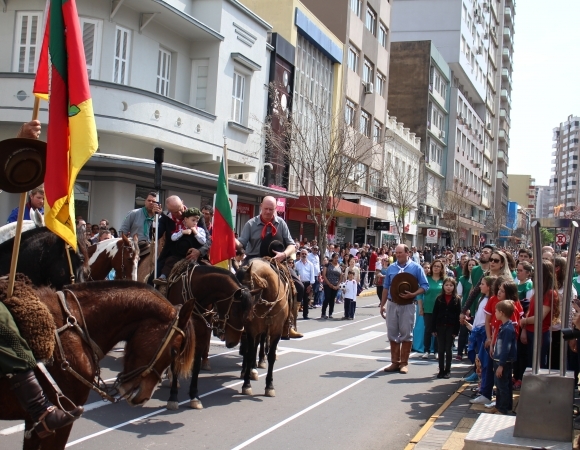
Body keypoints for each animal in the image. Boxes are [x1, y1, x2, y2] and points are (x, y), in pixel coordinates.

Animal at [163, 262, 254, 410]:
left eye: (249, 314)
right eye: (235, 312)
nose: (234, 342)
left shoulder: (202, 334)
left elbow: (196, 366)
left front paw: (194, 396)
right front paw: (173, 398)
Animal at [236, 258, 292, 396]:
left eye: (245, 293)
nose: (240, 319)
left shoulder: (276, 331)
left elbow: (271, 356)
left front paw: (269, 386)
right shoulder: (252, 330)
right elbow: (250, 354)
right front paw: (246, 384)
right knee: (249, 349)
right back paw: (247, 370)